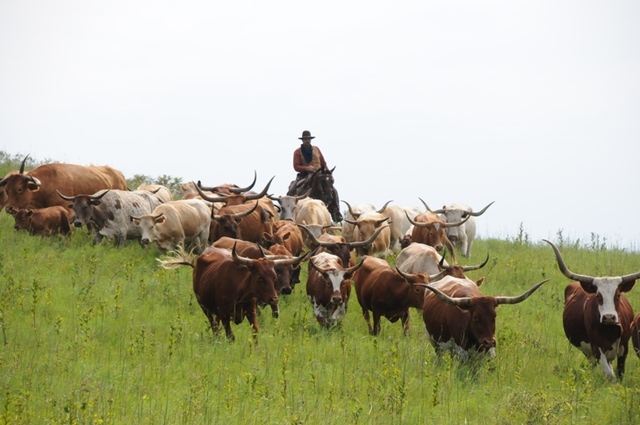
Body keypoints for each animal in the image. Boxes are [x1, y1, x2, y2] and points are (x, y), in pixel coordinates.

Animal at [159, 243, 304, 341]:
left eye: (274, 277)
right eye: (260, 277)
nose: (274, 299)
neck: (240, 290)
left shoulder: (251, 311)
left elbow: (255, 333)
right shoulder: (224, 315)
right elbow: (231, 336)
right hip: (204, 307)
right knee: (214, 326)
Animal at [544, 239, 640, 381]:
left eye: (618, 295)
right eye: (598, 296)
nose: (609, 317)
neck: (610, 330)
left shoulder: (624, 347)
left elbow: (619, 373)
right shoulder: (596, 348)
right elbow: (609, 374)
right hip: (588, 352)